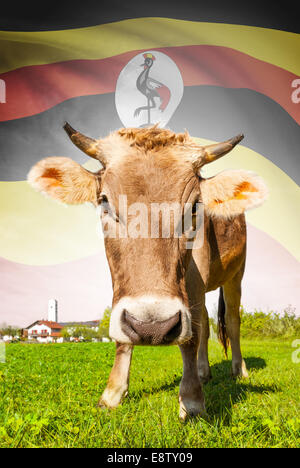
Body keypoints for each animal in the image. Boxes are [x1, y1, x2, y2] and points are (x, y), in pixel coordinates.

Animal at [28, 122, 268, 418]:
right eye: (104, 201)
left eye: (195, 206)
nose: (152, 327)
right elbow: (125, 334)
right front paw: (112, 393)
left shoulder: (196, 276)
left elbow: (191, 335)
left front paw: (192, 400)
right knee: (206, 324)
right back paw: (203, 372)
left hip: (236, 274)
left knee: (232, 322)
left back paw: (239, 370)